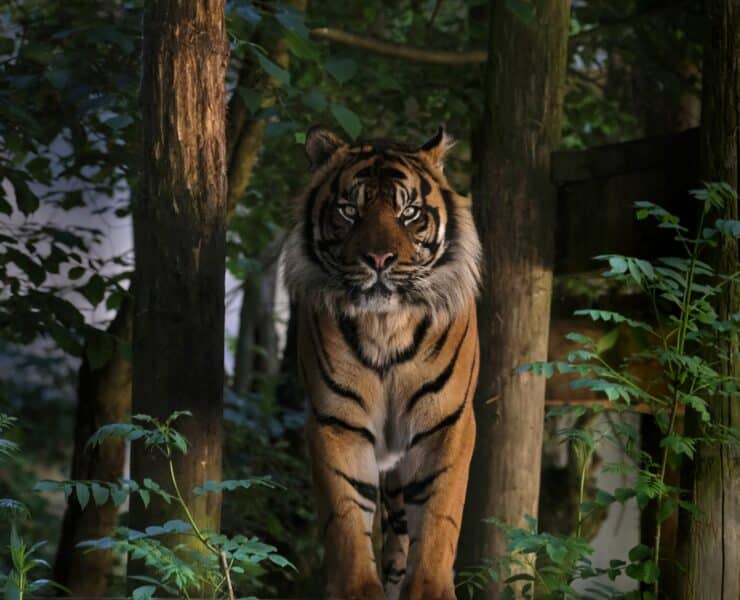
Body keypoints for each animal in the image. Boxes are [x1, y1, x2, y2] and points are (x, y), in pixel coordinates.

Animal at [283, 125, 481, 600]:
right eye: (349, 211)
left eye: (409, 212)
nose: (378, 260)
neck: (386, 324)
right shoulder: (336, 423)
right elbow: (346, 519)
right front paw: (356, 590)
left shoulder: (448, 422)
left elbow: (440, 516)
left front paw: (429, 590)